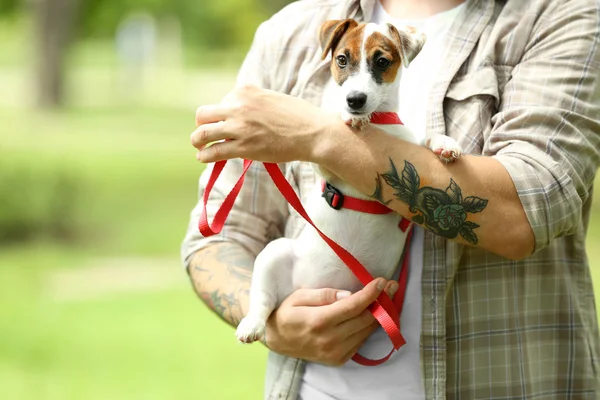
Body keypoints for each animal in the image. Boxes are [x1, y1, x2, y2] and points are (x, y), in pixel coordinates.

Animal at [233, 18, 460, 344]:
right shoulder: (325, 166)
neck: (378, 123)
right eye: (342, 59)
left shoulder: (410, 148)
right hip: (273, 253)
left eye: (382, 62)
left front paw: (445, 143)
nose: (354, 101)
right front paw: (347, 117)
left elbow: (427, 138)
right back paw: (252, 325)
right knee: (263, 300)